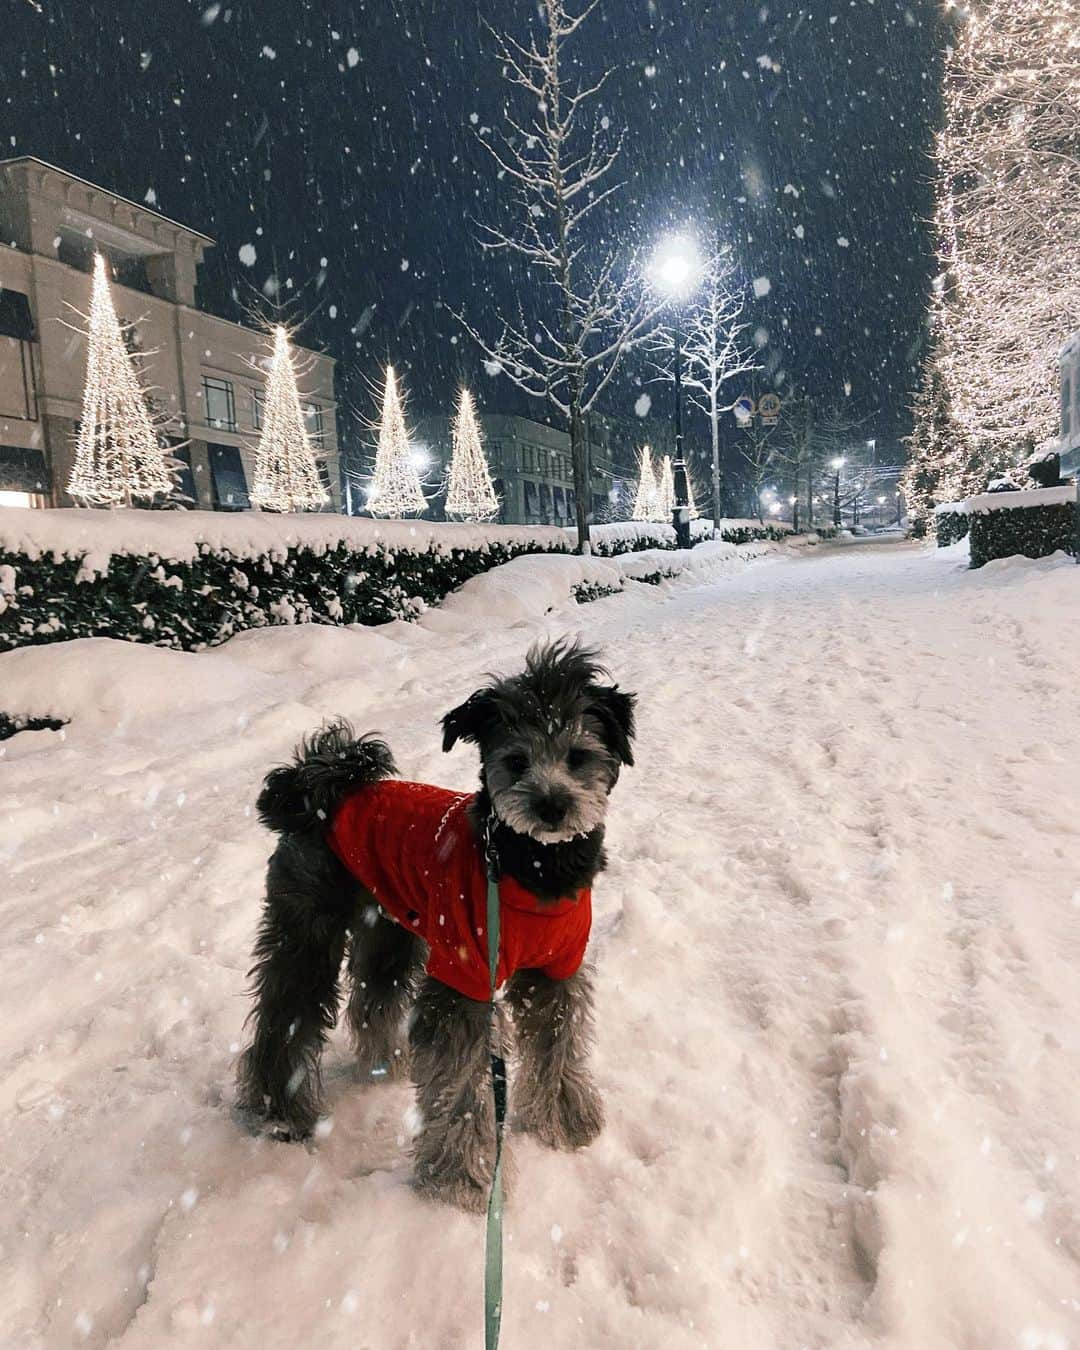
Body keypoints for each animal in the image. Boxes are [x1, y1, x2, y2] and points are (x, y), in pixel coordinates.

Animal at [236, 637, 631, 1209]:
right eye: (516, 761)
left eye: (578, 757)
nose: (551, 807)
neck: (527, 868)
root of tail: (321, 788)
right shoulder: (463, 979)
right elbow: (463, 1084)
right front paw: (462, 1178)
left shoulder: (554, 971)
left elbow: (558, 1045)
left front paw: (564, 1121)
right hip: (308, 931)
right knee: (286, 1021)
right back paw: (281, 1114)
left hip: (390, 931)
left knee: (372, 1001)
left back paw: (384, 1066)